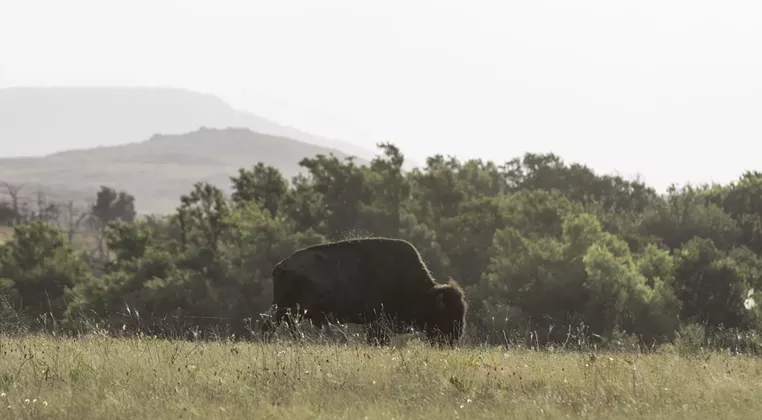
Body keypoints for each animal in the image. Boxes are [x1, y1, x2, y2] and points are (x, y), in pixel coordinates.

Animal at [261, 237, 468, 347]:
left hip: (286, 309)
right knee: (274, 324)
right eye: (447, 314)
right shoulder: (378, 322)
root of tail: (280, 266)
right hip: (287, 308)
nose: (456, 337)